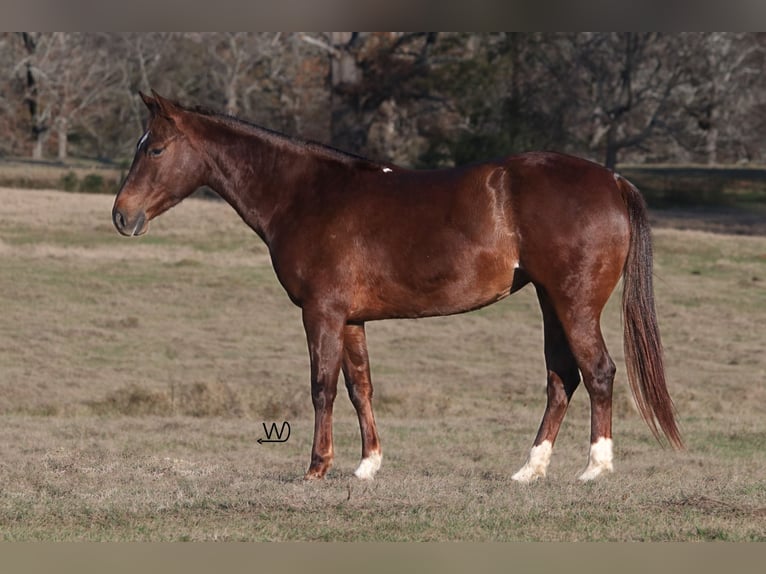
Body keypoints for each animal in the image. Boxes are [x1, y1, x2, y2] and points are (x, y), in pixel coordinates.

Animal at [111, 92, 680, 484]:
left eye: (155, 148)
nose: (121, 215)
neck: (307, 195)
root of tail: (612, 180)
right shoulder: (351, 319)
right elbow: (360, 387)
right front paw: (367, 465)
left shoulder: (321, 313)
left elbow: (322, 387)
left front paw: (317, 467)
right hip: (549, 300)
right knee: (562, 378)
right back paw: (529, 470)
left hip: (573, 301)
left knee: (598, 372)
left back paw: (595, 468)